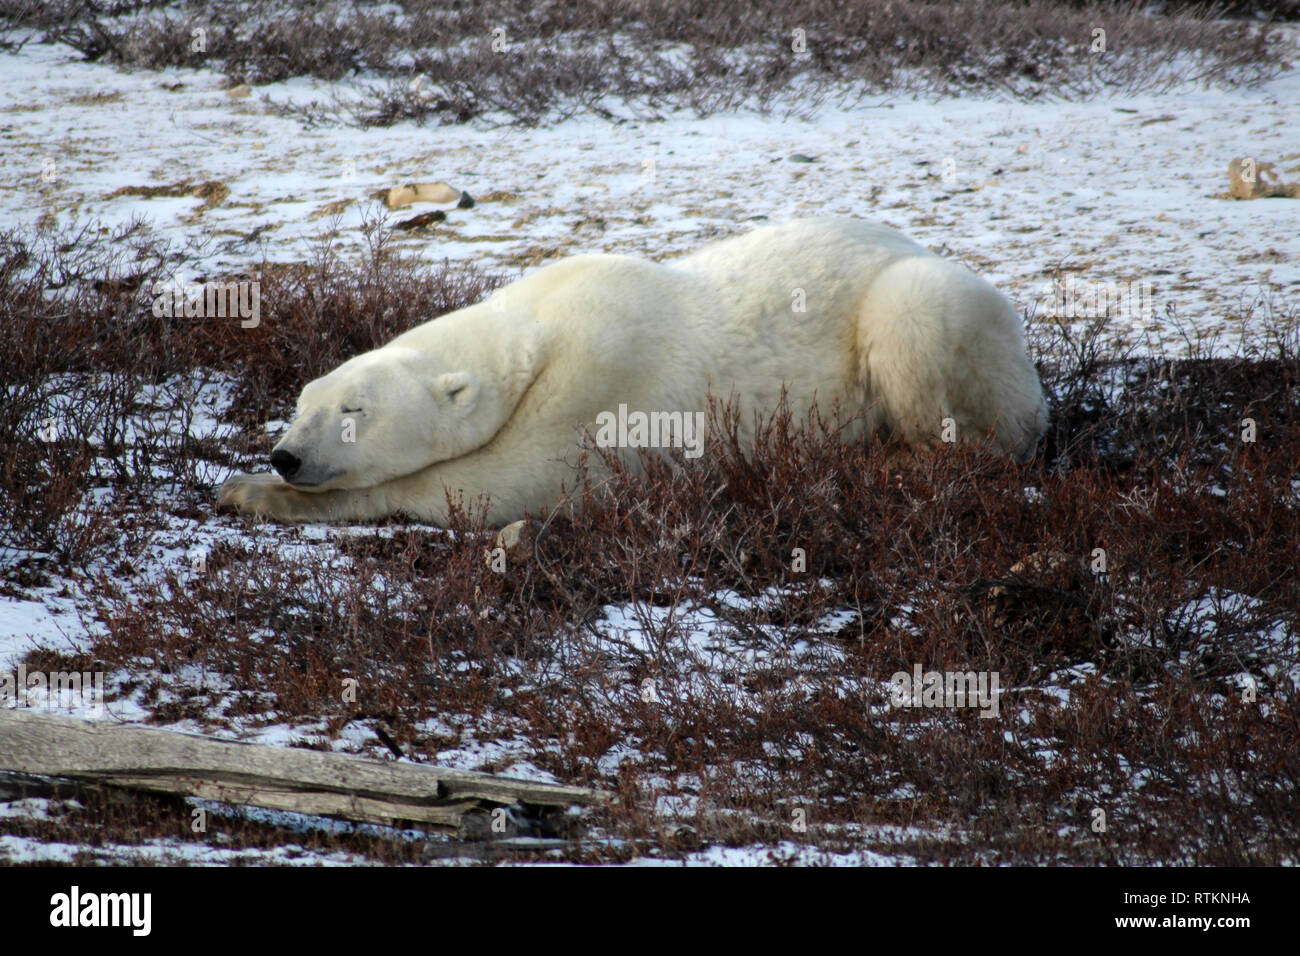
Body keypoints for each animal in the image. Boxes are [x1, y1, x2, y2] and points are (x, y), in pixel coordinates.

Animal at [215, 217, 1045, 528]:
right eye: (304, 401)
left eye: (355, 410)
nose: (286, 455)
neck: (541, 323)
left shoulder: (606, 375)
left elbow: (504, 484)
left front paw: (251, 492)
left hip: (931, 309)